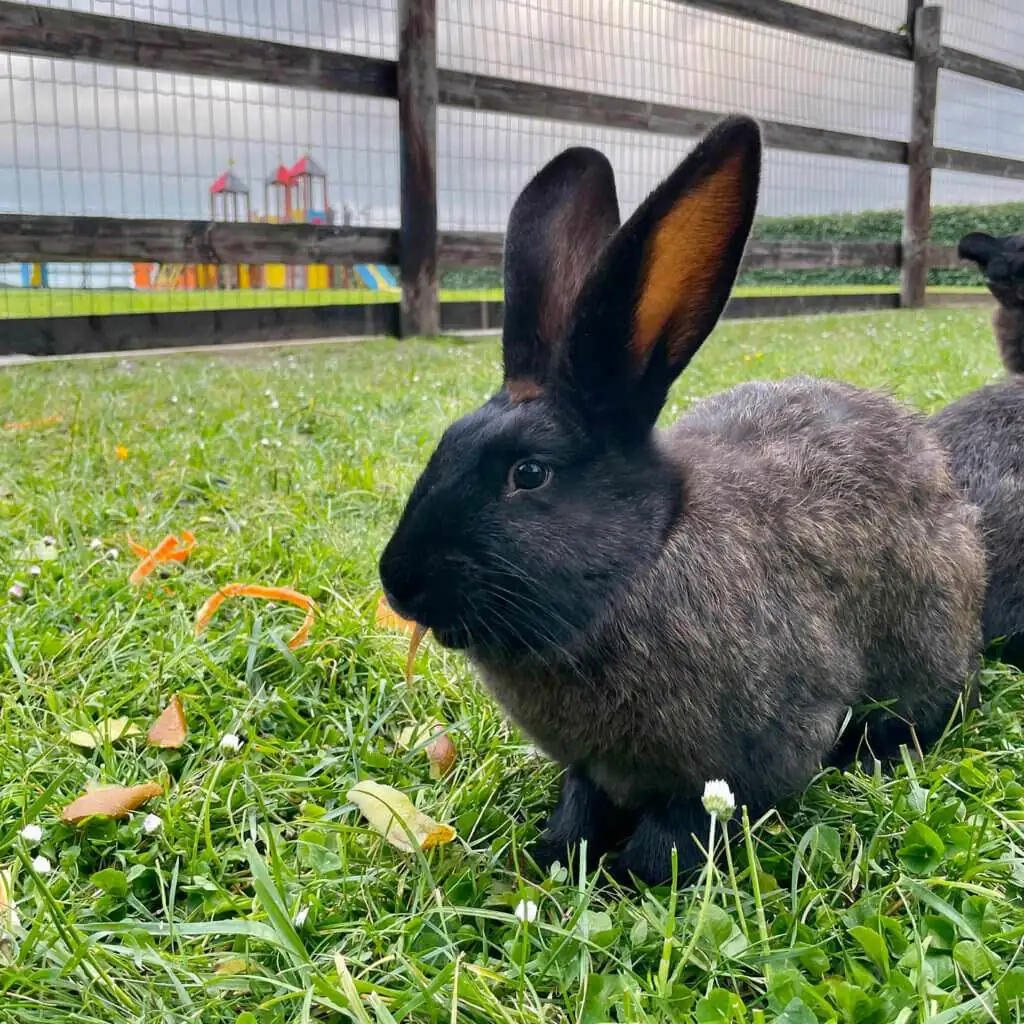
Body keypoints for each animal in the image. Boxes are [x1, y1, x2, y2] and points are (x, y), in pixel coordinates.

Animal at [376, 116, 983, 888]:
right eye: (445, 443)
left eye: (530, 474)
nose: (398, 581)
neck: (646, 557)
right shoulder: (594, 769)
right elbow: (582, 803)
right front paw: (555, 854)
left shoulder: (745, 758)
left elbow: (680, 830)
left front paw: (629, 876)